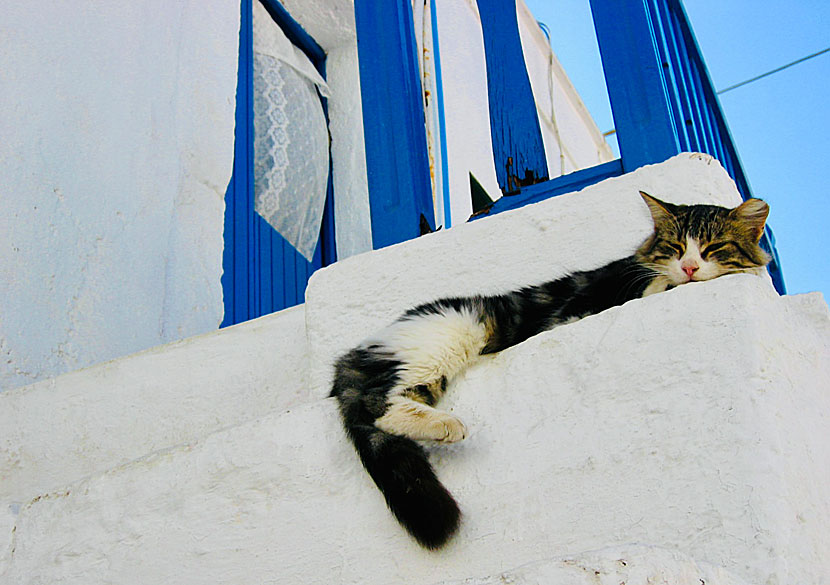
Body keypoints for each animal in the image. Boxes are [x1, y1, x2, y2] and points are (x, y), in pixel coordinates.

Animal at [330, 190, 772, 548]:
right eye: (676, 246)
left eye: (714, 247)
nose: (690, 268)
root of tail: (351, 354)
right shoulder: (584, 307)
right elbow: (654, 287)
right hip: (449, 337)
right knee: (376, 404)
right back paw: (448, 425)